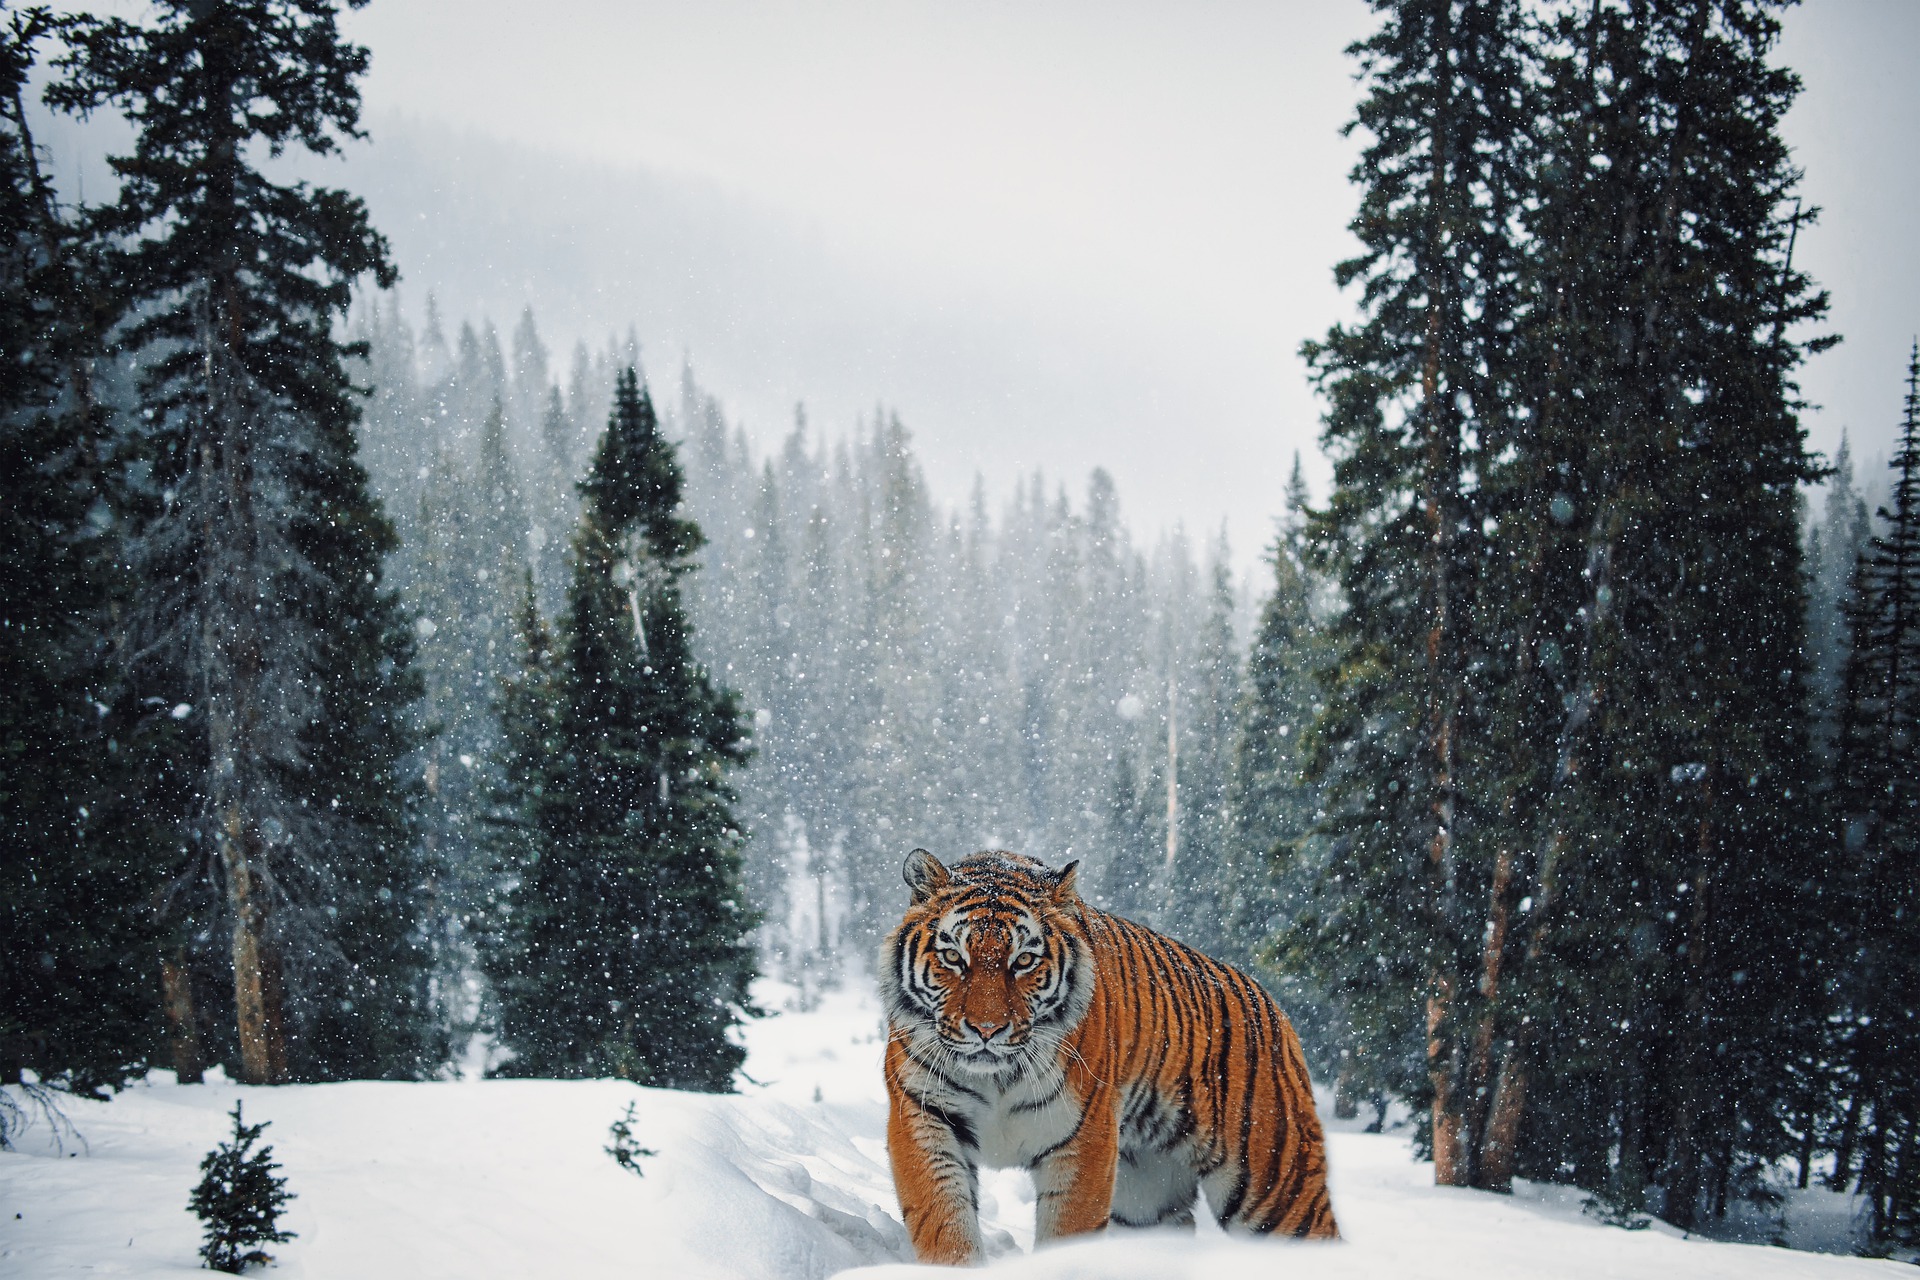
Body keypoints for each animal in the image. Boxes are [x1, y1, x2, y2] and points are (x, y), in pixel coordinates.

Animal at [879, 848, 1338, 1265]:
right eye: (953, 957)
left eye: (1024, 960)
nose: (987, 1030)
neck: (996, 1078)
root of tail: (1273, 1005)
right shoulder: (923, 1116)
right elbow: (944, 1220)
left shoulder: (1085, 1139)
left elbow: (1067, 1231)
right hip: (1145, 1198)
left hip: (1275, 1185)